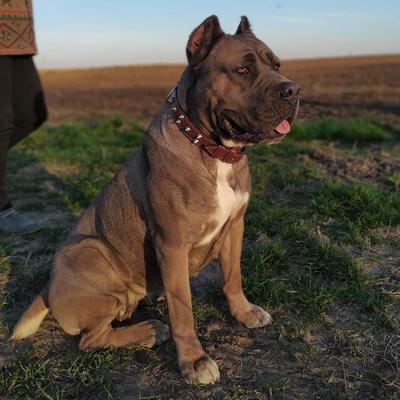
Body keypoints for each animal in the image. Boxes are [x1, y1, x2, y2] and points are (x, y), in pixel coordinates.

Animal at [12, 15, 300, 385]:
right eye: (242, 70)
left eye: (276, 65)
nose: (292, 90)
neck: (211, 148)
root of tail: (47, 288)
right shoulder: (172, 244)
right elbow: (183, 310)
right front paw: (194, 361)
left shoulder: (235, 226)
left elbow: (232, 277)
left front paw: (244, 312)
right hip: (90, 249)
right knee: (91, 339)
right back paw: (149, 331)